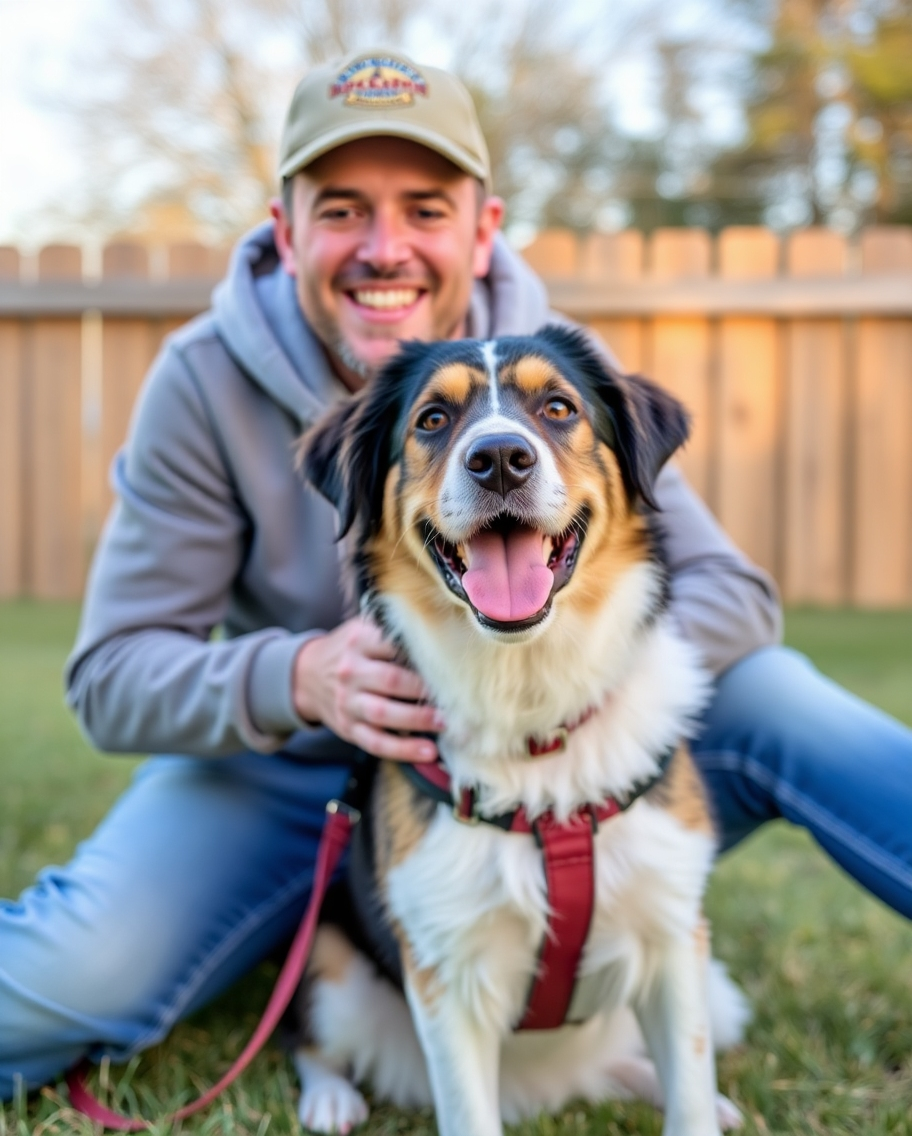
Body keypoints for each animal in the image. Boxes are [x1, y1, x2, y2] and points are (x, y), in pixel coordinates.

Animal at [295, 324, 754, 1131]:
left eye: (559, 407)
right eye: (433, 420)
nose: (501, 457)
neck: (534, 715)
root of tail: (547, 1087)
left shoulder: (675, 936)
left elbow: (690, 1092)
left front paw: (701, 1104)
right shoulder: (444, 971)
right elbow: (467, 1111)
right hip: (332, 967)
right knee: (310, 1042)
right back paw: (329, 1099)